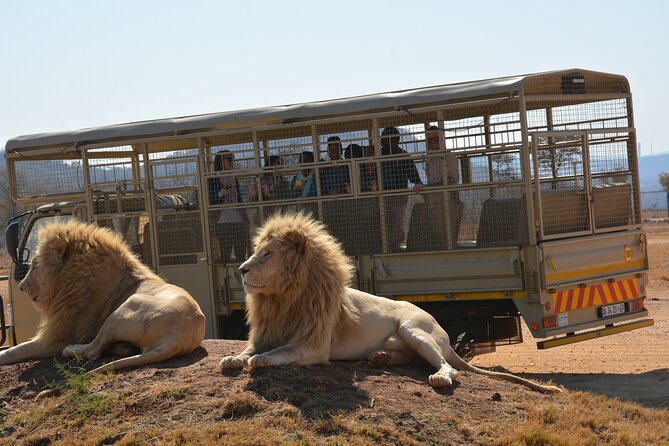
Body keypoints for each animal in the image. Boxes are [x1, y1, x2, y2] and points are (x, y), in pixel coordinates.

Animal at [0, 221, 206, 374]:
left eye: (35, 266)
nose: (21, 286)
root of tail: (178, 335)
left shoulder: (58, 338)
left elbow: (18, 349)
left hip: (123, 310)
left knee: (93, 350)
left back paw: (73, 349)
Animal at [222, 213, 560, 394]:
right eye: (257, 252)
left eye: (267, 254)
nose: (242, 270)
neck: (282, 298)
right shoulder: (266, 332)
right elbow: (248, 350)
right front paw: (233, 358)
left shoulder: (314, 345)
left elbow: (281, 352)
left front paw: (260, 361)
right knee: (413, 359)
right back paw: (381, 357)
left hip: (414, 330)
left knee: (448, 366)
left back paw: (438, 377)